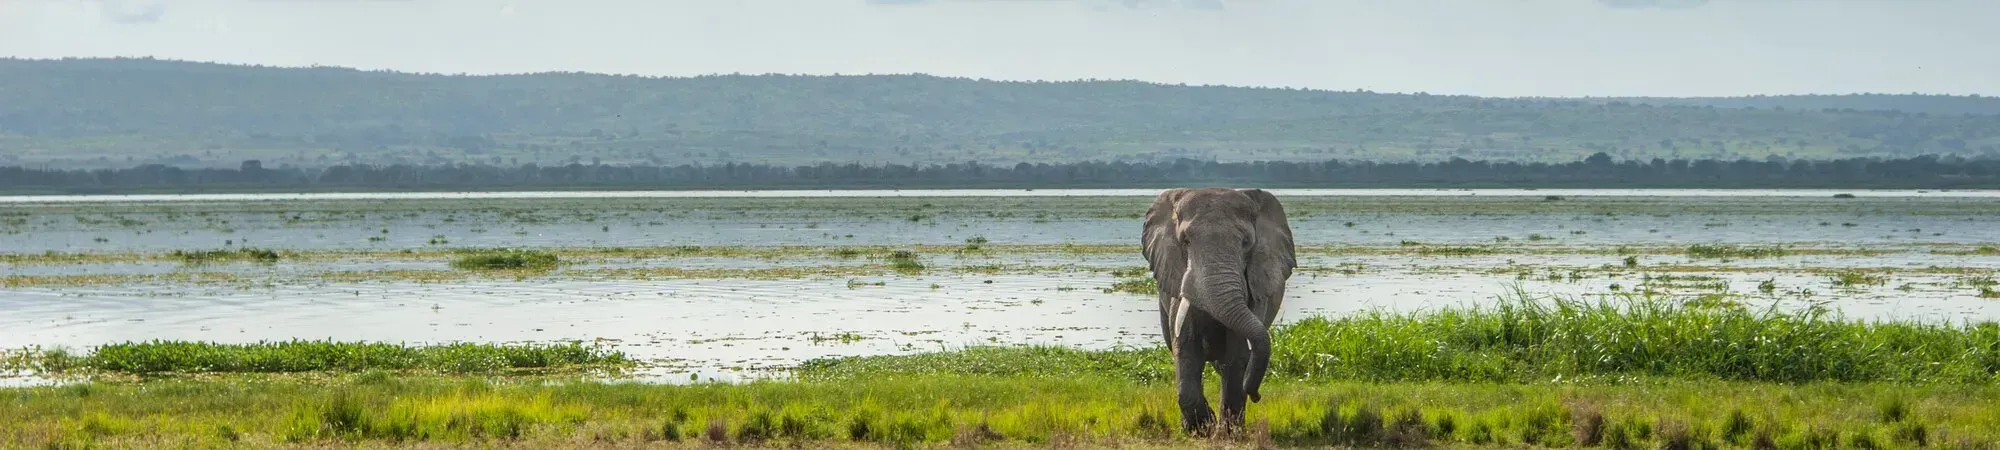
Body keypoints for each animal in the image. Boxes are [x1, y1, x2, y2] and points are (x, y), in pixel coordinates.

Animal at [1144, 185, 1296, 432]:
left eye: (1246, 243)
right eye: (1185, 241)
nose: (1257, 395)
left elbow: (1236, 355)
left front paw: (1229, 431)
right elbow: (1184, 348)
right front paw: (1200, 430)